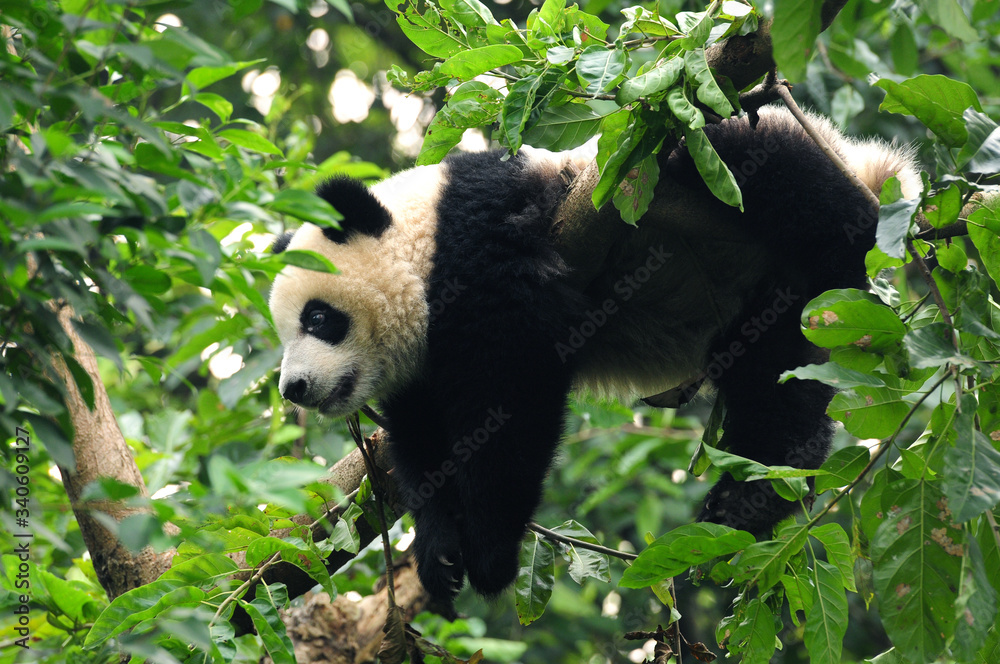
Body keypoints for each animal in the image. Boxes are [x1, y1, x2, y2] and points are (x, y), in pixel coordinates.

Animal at [268, 106, 920, 603]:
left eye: (318, 319)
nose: (292, 388)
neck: (421, 237)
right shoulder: (418, 367)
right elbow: (424, 444)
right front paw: (440, 551)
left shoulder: (485, 245)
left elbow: (512, 399)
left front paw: (490, 551)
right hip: (766, 304)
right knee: (773, 374)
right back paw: (757, 494)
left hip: (703, 164)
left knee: (747, 162)